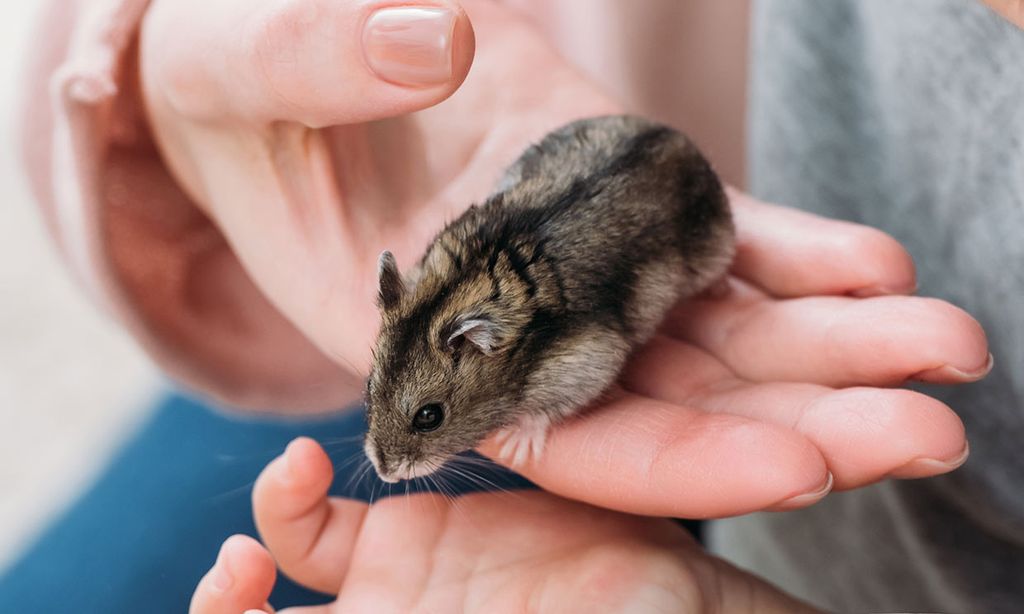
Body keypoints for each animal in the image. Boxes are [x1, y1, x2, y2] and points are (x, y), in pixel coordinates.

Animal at [364, 112, 733, 483]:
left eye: (429, 416)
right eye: (368, 387)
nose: (384, 474)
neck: (455, 291)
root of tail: (674, 133)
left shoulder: (586, 362)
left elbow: (544, 412)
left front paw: (517, 445)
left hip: (715, 247)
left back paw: (723, 291)